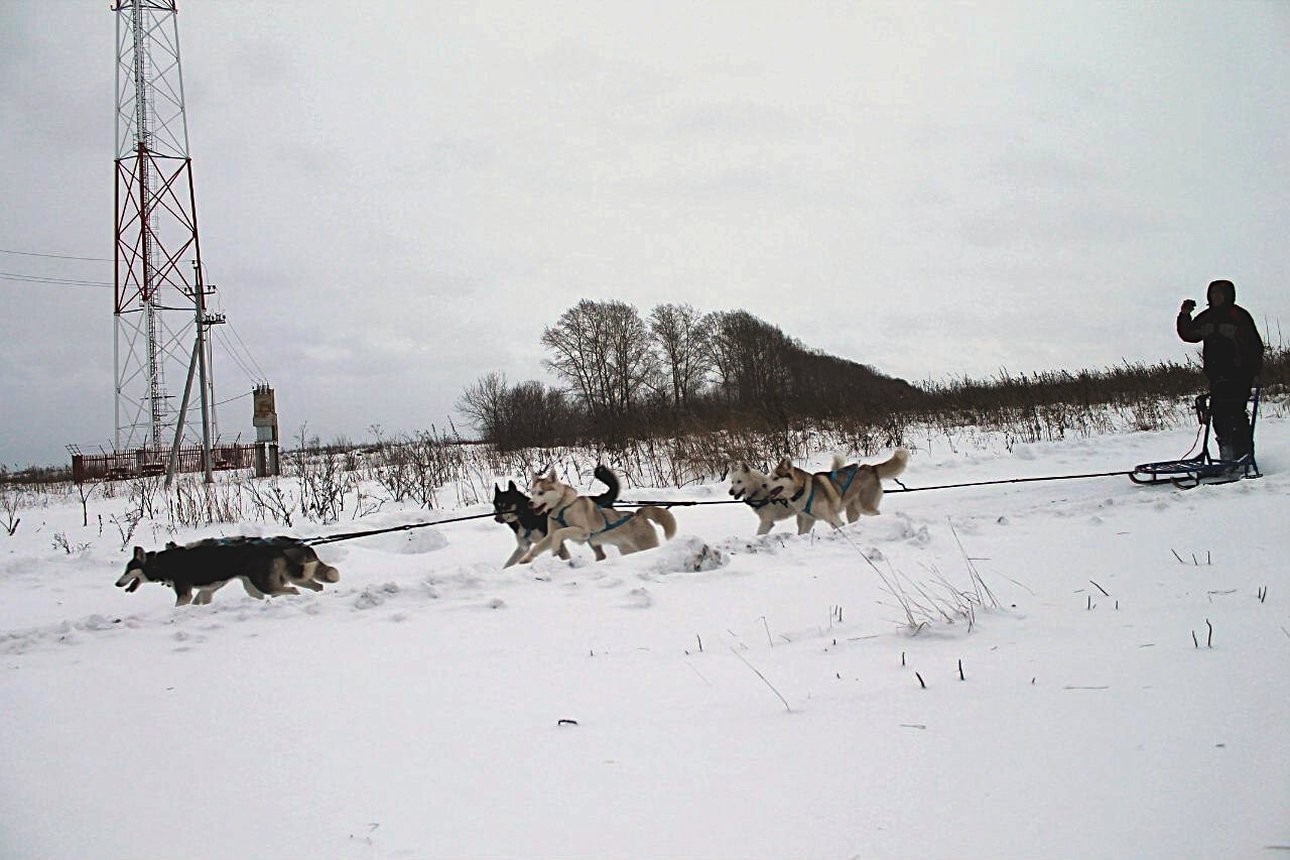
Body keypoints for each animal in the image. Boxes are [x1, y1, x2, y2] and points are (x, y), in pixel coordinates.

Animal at [116, 533, 340, 608]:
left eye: (128, 570)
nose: (117, 583)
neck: (164, 562)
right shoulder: (206, 590)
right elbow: (200, 601)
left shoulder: (184, 592)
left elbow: (181, 605)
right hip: (266, 582)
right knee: (314, 585)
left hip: (263, 583)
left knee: (292, 590)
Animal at [516, 471, 675, 564]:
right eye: (532, 492)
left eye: (541, 493)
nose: (530, 503)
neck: (560, 508)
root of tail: (638, 514)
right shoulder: (549, 535)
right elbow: (539, 545)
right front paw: (526, 558)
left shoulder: (583, 532)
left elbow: (560, 532)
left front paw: (555, 548)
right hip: (628, 550)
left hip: (646, 545)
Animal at [768, 451, 913, 531]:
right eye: (769, 477)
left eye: (775, 478)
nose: (764, 485)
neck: (803, 490)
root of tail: (870, 468)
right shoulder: (810, 520)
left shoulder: (833, 517)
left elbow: (839, 526)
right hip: (852, 511)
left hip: (864, 506)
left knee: (876, 513)